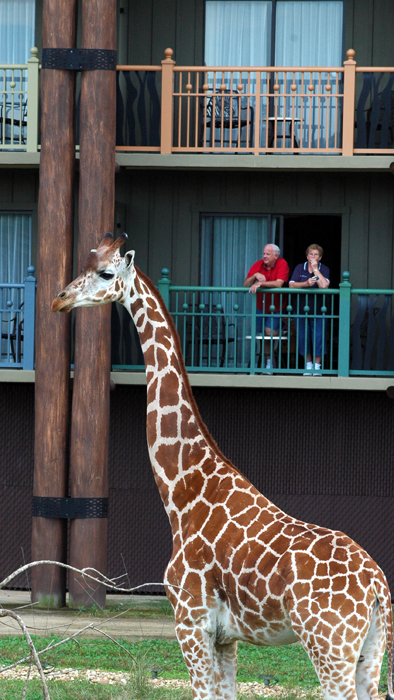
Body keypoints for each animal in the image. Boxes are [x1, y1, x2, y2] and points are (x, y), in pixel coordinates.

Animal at [50, 234, 392, 700]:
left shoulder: (190, 622)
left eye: (105, 273)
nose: (60, 300)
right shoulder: (227, 638)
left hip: (330, 646)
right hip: (371, 649)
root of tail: (377, 585)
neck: (182, 493)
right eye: (84, 264)